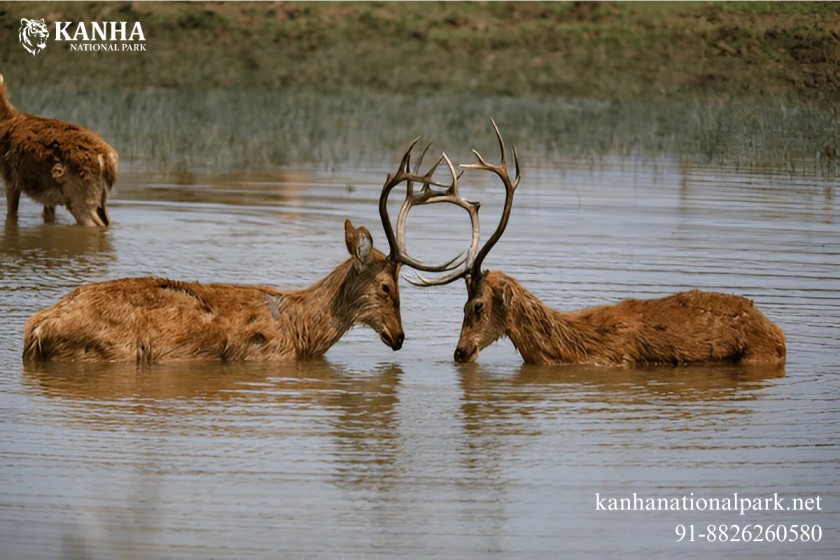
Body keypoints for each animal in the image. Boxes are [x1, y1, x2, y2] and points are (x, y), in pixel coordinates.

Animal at [23, 142, 460, 364]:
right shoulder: (267, 356)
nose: (399, 337)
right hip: (106, 350)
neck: (303, 329)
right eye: (387, 287)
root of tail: (36, 329)